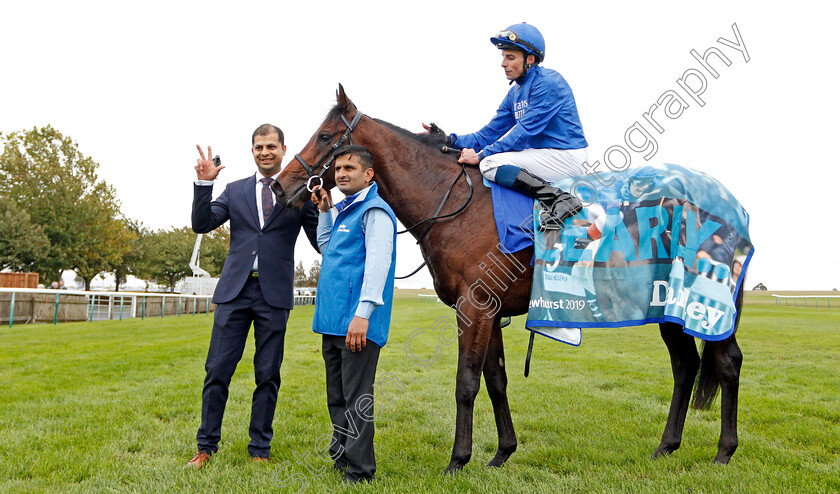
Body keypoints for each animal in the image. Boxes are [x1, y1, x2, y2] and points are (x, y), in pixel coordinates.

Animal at [272, 87, 744, 472]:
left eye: (326, 136)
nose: (280, 185)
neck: (456, 204)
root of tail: (728, 200)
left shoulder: (474, 307)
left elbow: (466, 383)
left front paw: (458, 459)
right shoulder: (489, 311)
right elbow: (496, 382)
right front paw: (502, 452)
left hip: (700, 302)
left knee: (726, 362)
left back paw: (724, 452)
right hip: (667, 307)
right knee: (685, 366)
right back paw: (666, 446)